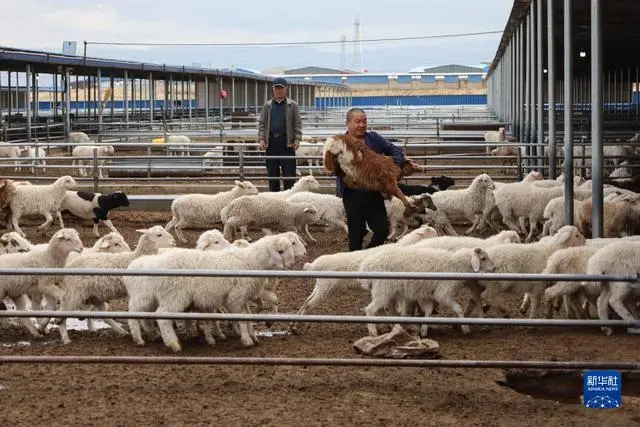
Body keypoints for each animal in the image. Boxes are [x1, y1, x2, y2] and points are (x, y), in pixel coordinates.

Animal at [360, 247, 496, 338]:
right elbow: (458, 308)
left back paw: (395, 326)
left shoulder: (428, 294)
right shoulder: (443, 292)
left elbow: (428, 311)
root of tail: (367, 265)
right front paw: (465, 328)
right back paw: (373, 332)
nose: (494, 268)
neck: (455, 265)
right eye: (483, 258)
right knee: (370, 309)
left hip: (387, 292)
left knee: (385, 309)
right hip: (383, 291)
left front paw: (424, 331)